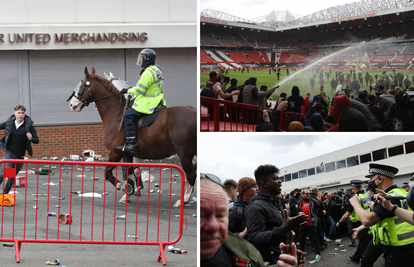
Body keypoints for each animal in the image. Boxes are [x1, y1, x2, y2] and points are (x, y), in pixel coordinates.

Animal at [67, 67, 196, 203]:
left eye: (81, 85)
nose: (71, 104)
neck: (116, 113)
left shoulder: (116, 151)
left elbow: (108, 172)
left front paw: (123, 186)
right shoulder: (127, 153)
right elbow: (130, 171)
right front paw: (130, 191)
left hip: (184, 153)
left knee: (191, 174)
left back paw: (184, 199)